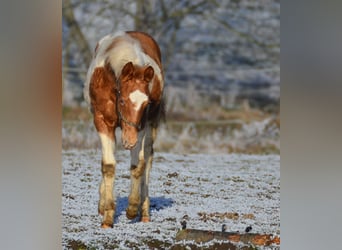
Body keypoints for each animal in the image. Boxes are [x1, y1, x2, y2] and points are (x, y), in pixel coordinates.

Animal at [83, 31, 165, 229]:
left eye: (146, 103)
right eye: (122, 100)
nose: (129, 141)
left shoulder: (141, 125)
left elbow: (138, 165)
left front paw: (132, 208)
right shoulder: (102, 122)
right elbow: (108, 166)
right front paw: (107, 217)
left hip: (151, 126)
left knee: (148, 159)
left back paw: (144, 212)